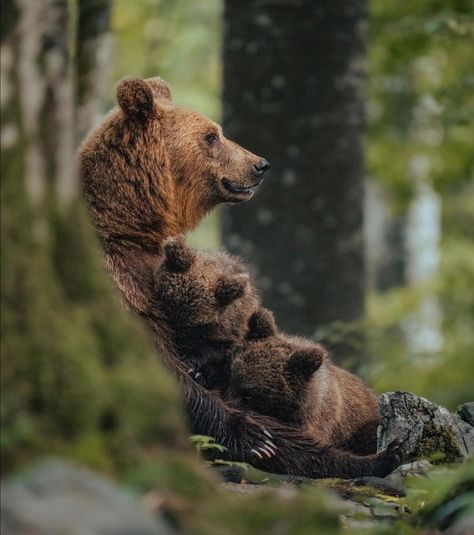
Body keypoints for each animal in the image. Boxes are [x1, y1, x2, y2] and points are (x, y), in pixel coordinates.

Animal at [78, 74, 404, 478]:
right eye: (211, 135)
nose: (260, 164)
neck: (133, 228)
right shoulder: (121, 284)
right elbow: (163, 371)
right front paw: (253, 436)